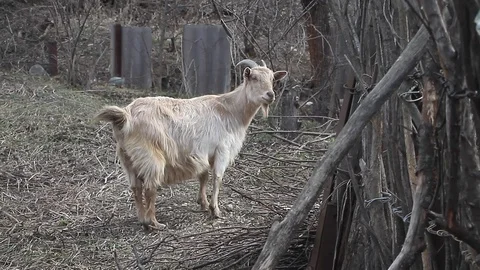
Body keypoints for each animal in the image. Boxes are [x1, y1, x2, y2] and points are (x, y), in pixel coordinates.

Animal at [95, 58, 286, 228]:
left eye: (272, 79)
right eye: (254, 77)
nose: (270, 95)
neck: (230, 110)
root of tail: (126, 116)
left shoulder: (205, 153)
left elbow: (203, 176)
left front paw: (203, 204)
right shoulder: (222, 149)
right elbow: (218, 177)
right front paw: (215, 210)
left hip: (126, 158)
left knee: (136, 187)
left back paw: (143, 220)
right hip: (151, 156)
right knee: (150, 187)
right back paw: (154, 223)